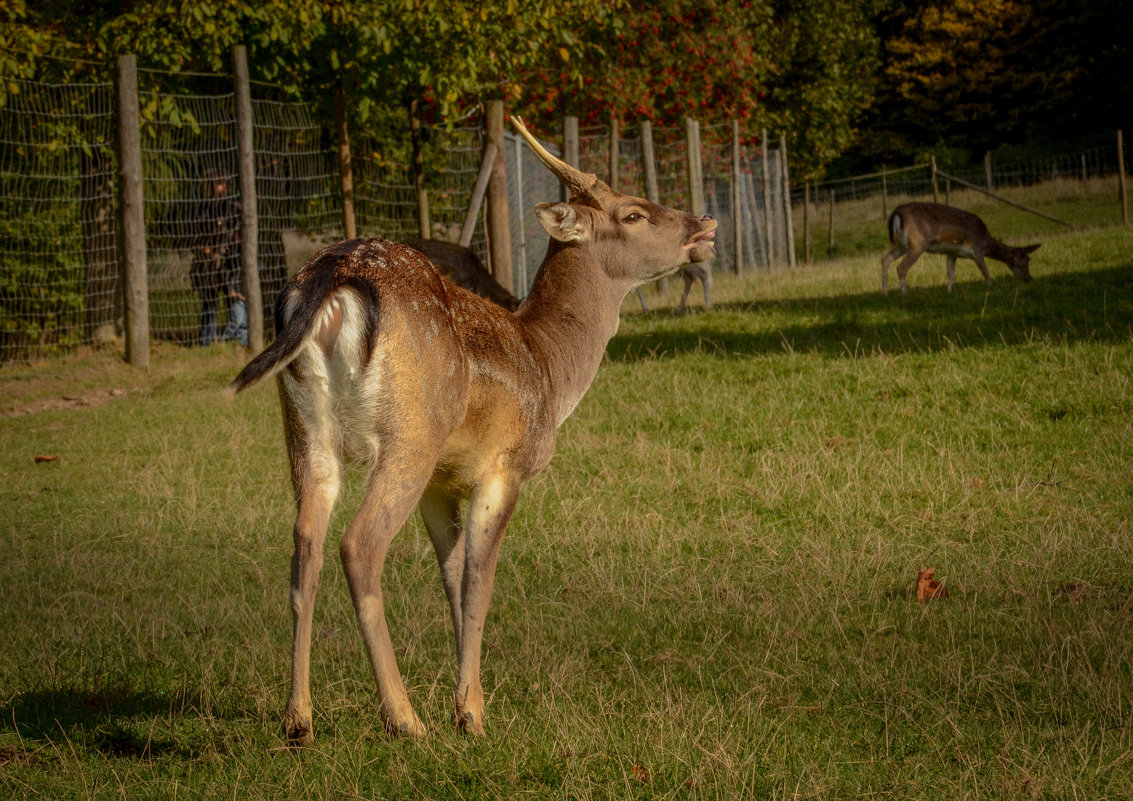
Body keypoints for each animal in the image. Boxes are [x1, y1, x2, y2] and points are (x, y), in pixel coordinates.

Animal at [225, 117, 711, 747]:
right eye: (631, 213)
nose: (704, 225)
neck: (550, 367)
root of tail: (330, 281)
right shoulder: (504, 467)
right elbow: (480, 583)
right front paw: (472, 714)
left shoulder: (441, 483)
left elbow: (453, 579)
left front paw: (465, 697)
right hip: (409, 435)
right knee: (359, 544)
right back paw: (403, 718)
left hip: (304, 429)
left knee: (304, 546)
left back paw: (299, 719)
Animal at [879, 201, 1037, 296]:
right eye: (1023, 262)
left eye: (1029, 260)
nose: (1029, 278)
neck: (986, 241)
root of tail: (896, 213)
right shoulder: (977, 250)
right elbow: (986, 272)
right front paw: (992, 288)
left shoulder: (952, 253)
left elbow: (951, 274)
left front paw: (949, 292)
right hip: (917, 243)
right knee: (901, 267)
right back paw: (904, 295)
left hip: (900, 244)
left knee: (885, 258)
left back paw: (885, 293)